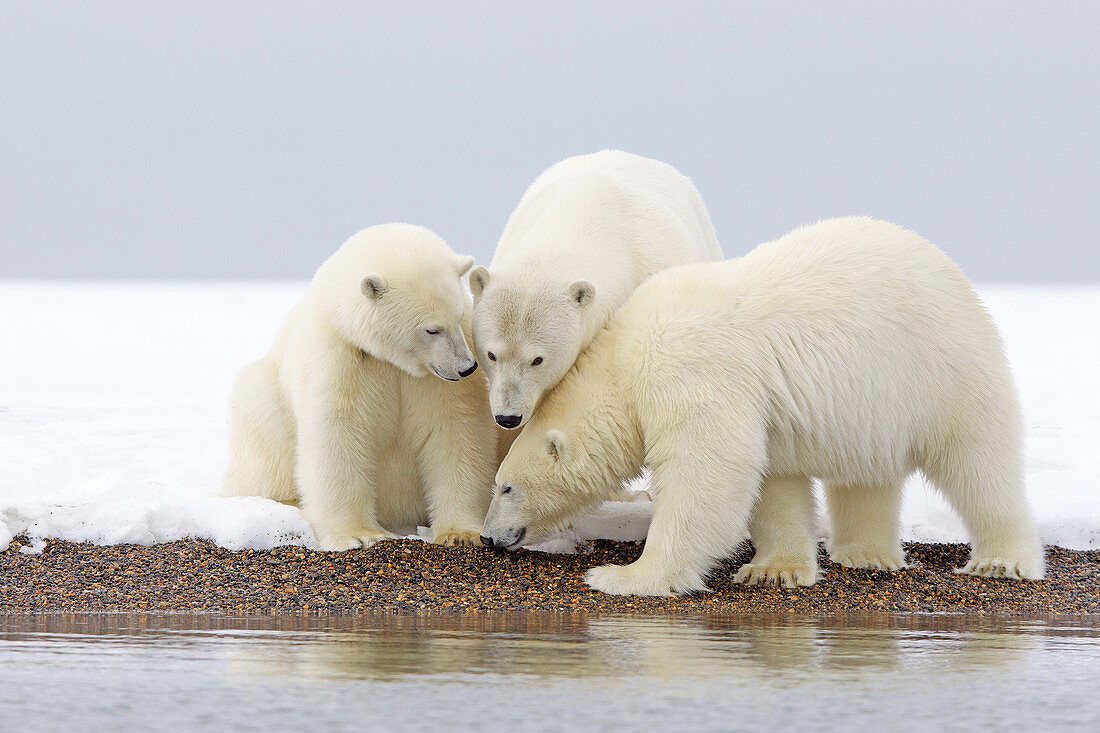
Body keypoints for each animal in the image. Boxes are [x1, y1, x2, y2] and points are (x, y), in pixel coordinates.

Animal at [223, 222, 499, 548]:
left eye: (460, 316)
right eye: (431, 329)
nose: (466, 367)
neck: (391, 360)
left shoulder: (434, 380)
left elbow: (455, 428)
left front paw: (460, 534)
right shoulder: (341, 355)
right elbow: (340, 431)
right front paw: (358, 534)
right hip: (266, 401)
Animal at [484, 216, 1047, 594]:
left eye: (506, 486)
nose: (489, 537)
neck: (624, 358)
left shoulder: (693, 372)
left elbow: (710, 467)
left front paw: (622, 575)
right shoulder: (760, 401)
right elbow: (772, 479)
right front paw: (774, 570)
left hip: (942, 365)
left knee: (978, 460)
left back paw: (1002, 560)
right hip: (873, 402)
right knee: (865, 475)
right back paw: (865, 555)